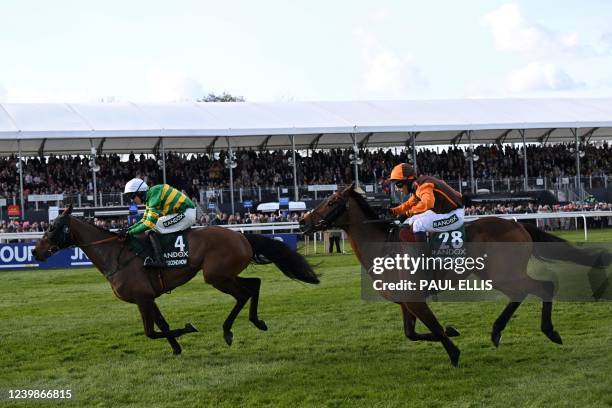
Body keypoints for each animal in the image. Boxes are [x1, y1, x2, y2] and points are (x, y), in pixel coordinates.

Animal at [32, 204, 320, 354]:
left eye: (52, 228)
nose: (35, 251)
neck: (114, 254)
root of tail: (241, 235)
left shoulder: (142, 297)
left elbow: (151, 332)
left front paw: (189, 329)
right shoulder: (149, 297)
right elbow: (162, 324)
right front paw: (176, 348)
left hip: (215, 275)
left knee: (244, 293)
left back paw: (228, 331)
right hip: (226, 274)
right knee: (255, 284)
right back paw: (256, 321)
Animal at [302, 185, 608, 366]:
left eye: (331, 201)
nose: (304, 221)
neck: (383, 245)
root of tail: (519, 225)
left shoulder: (414, 299)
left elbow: (433, 328)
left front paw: (454, 352)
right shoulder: (405, 302)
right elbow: (412, 334)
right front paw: (452, 332)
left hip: (503, 273)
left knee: (543, 286)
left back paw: (549, 331)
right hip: (497, 274)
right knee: (522, 293)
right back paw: (497, 331)